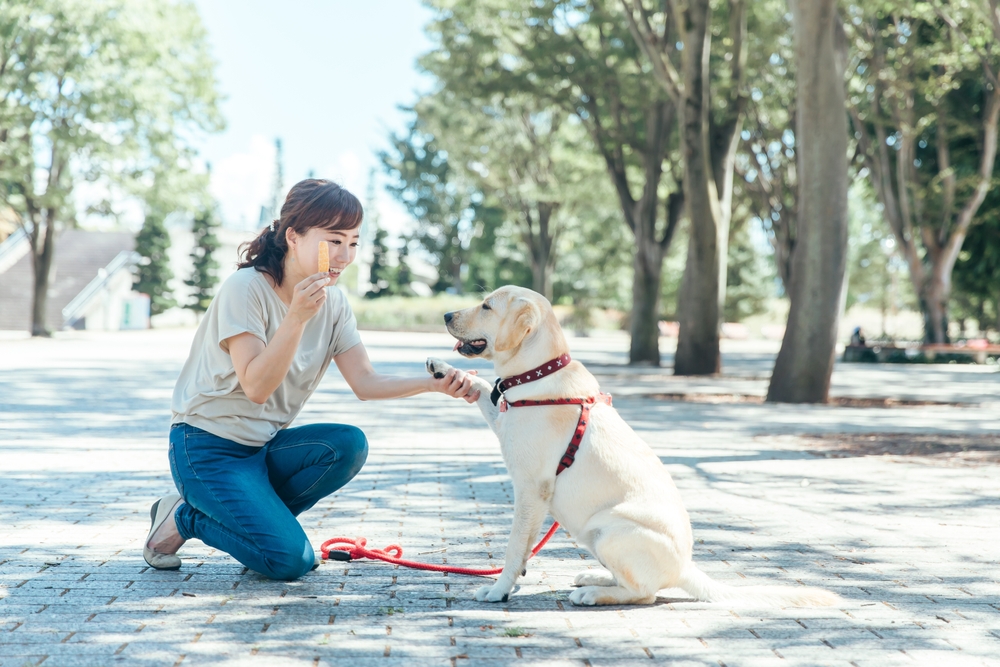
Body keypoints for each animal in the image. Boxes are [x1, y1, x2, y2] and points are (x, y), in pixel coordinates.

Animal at [426, 284, 840, 608]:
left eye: (486, 306)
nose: (445, 313)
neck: (535, 373)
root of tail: (685, 568)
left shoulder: (531, 488)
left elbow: (514, 547)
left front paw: (498, 589)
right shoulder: (503, 421)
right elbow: (483, 387)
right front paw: (446, 370)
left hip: (609, 529)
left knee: (645, 593)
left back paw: (594, 594)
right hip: (593, 535)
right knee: (632, 582)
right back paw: (594, 579)